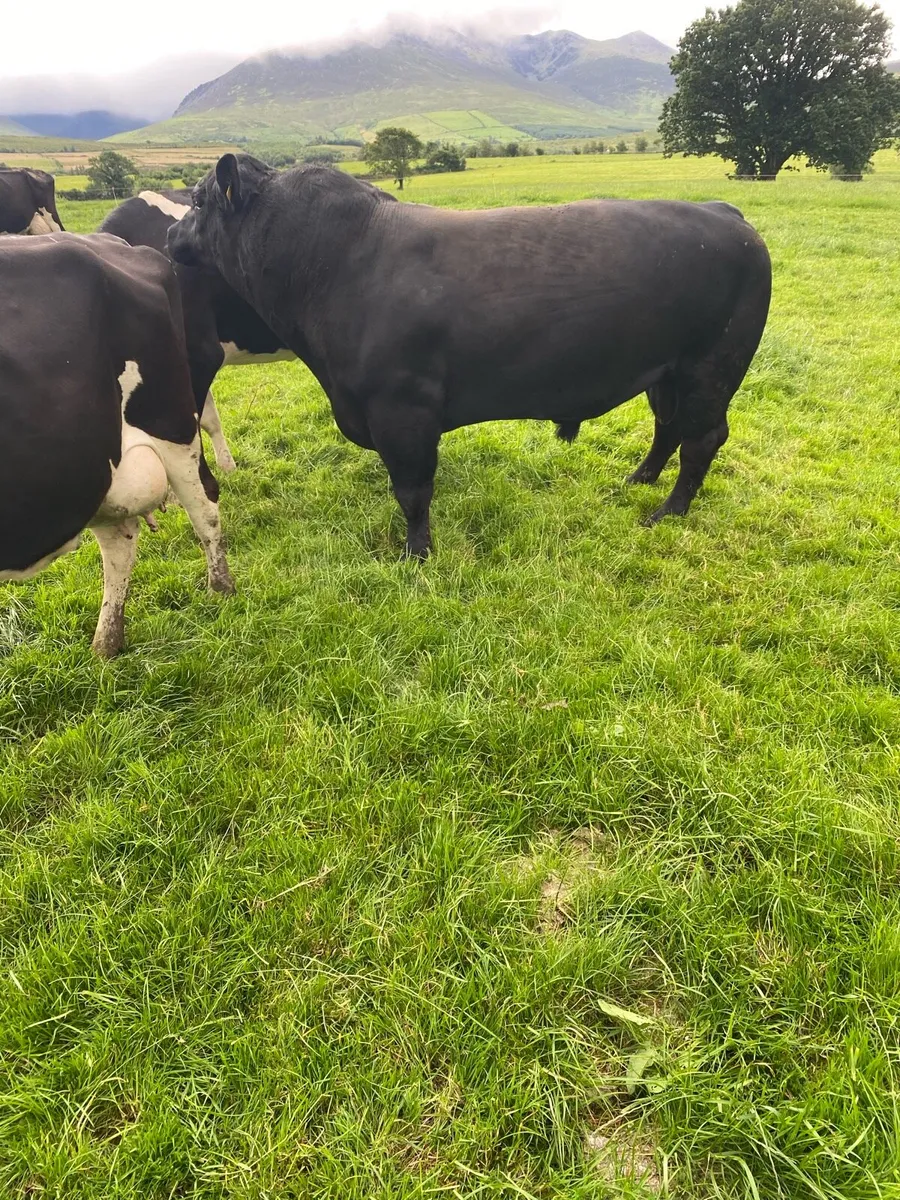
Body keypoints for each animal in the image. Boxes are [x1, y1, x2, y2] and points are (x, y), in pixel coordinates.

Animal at [0, 232, 234, 656]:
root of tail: (116, 242)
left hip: (171, 425)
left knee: (205, 505)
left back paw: (221, 589)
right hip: (95, 473)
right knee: (121, 542)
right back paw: (106, 644)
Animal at [169, 154, 772, 559]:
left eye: (196, 201)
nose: (172, 233)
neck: (336, 262)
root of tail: (724, 212)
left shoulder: (403, 411)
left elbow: (412, 490)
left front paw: (416, 554)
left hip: (711, 368)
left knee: (701, 440)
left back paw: (666, 511)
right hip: (666, 372)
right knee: (668, 428)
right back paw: (639, 481)